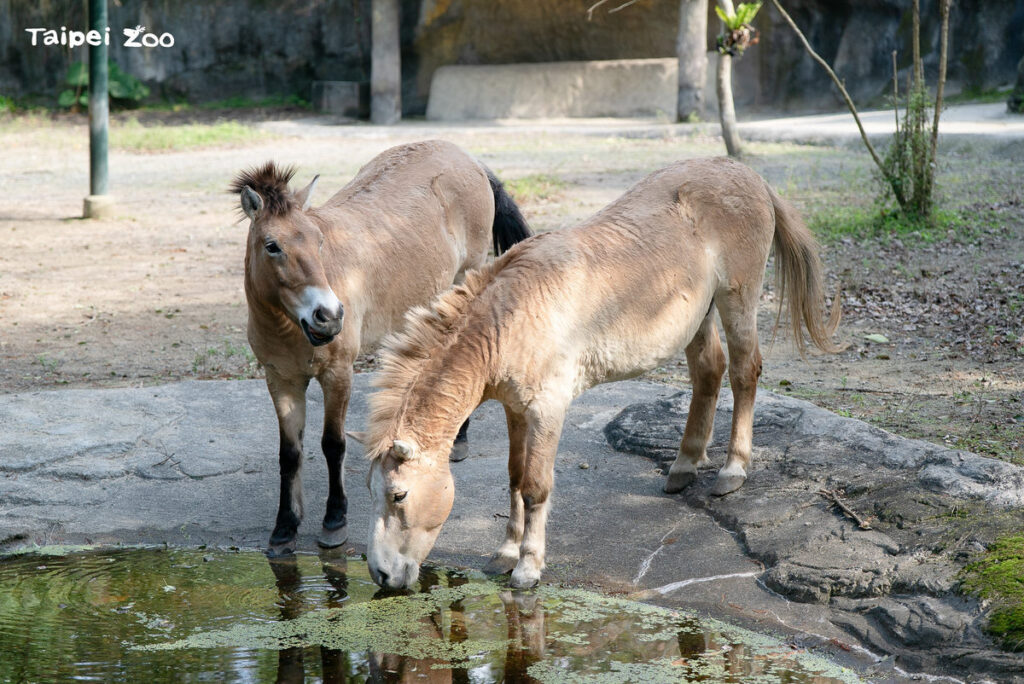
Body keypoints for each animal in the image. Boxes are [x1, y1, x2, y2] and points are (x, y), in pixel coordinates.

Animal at [230, 140, 532, 557]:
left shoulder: (338, 373)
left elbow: (333, 444)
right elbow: (289, 454)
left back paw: (459, 442)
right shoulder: (281, 380)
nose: (329, 315)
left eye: (318, 240)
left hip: (464, 279)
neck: (287, 325)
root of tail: (465, 156)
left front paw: (334, 521)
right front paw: (284, 528)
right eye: (272, 246)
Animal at [354, 156, 843, 590]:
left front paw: (528, 568)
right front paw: (505, 554)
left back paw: (732, 471)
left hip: (737, 300)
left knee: (744, 372)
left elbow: (535, 487)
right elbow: (513, 477)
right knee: (709, 372)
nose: (381, 575)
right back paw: (684, 466)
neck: (511, 316)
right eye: (372, 490)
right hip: (698, 318)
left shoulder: (548, 411)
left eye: (398, 495)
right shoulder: (516, 411)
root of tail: (748, 175)